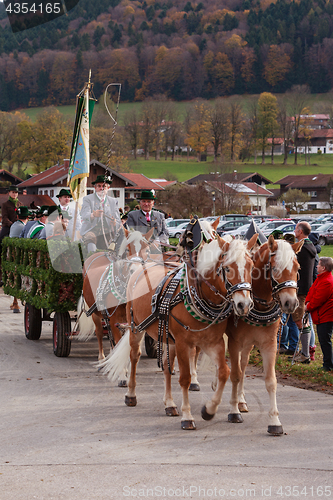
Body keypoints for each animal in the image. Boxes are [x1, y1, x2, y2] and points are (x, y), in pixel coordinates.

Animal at [97, 233, 255, 430]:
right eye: (227, 268)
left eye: (251, 266)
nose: (244, 305)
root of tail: (140, 268)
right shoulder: (183, 343)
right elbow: (185, 378)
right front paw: (187, 416)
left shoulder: (214, 343)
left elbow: (224, 372)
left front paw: (209, 410)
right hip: (136, 328)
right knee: (134, 357)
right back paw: (131, 394)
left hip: (166, 336)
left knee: (166, 367)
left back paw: (170, 404)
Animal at [226, 234, 300, 434]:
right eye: (274, 268)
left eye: (297, 268)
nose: (291, 303)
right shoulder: (234, 341)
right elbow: (234, 374)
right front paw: (233, 411)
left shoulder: (269, 344)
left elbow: (270, 380)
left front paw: (275, 421)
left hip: (248, 344)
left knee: (243, 365)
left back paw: (241, 400)